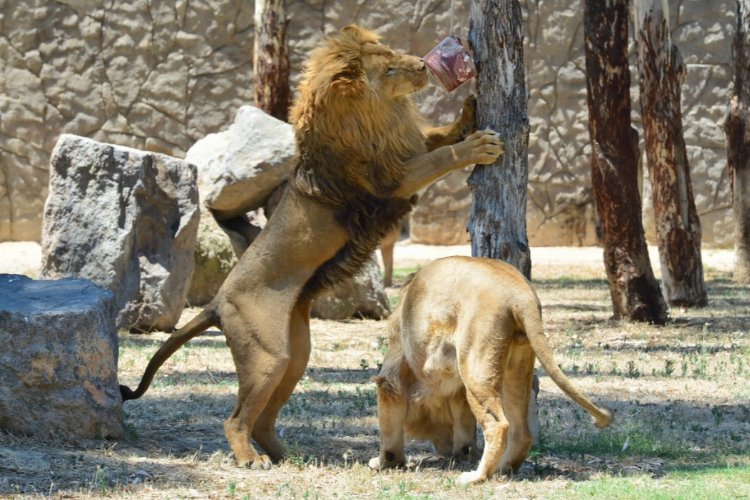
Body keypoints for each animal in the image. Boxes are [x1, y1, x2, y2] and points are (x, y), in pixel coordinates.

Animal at [120, 25, 502, 468]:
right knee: (236, 419)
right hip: (267, 357)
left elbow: (438, 137)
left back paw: (292, 455)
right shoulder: (393, 178)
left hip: (295, 354)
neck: (376, 115)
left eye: (393, 53)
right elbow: (442, 155)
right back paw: (252, 459)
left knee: (263, 418)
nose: (424, 66)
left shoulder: (403, 148)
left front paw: (469, 111)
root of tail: (216, 302)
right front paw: (477, 146)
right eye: (389, 68)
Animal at [368, 256, 612, 482]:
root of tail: (519, 292)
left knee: (498, 424)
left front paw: (383, 463)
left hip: (475, 362)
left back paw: (477, 476)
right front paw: (465, 452)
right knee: (521, 430)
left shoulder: (393, 376)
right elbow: (464, 427)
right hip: (517, 365)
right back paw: (504, 469)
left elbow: (389, 425)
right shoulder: (456, 393)